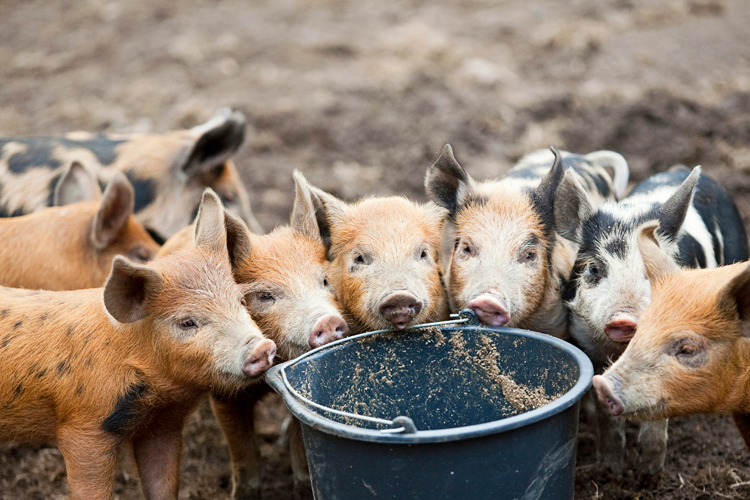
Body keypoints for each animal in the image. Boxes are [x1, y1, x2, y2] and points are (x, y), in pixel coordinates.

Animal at [0, 189, 276, 500]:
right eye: (187, 322)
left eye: (240, 301)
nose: (262, 348)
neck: (157, 397)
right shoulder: (83, 428)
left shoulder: (163, 424)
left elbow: (163, 484)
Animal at [159, 171, 348, 499]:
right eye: (265, 295)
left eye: (325, 281)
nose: (327, 320)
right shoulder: (223, 394)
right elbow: (244, 455)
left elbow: (300, 447)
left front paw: (301, 487)